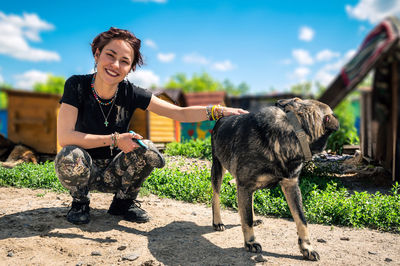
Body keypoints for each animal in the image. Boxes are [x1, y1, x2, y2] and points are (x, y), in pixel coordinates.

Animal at [211, 97, 340, 260]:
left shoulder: (291, 185)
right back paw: (217, 222)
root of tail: (222, 118)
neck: (295, 130)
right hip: (217, 168)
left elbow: (301, 220)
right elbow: (246, 220)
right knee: (215, 197)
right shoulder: (245, 185)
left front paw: (307, 247)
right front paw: (250, 242)